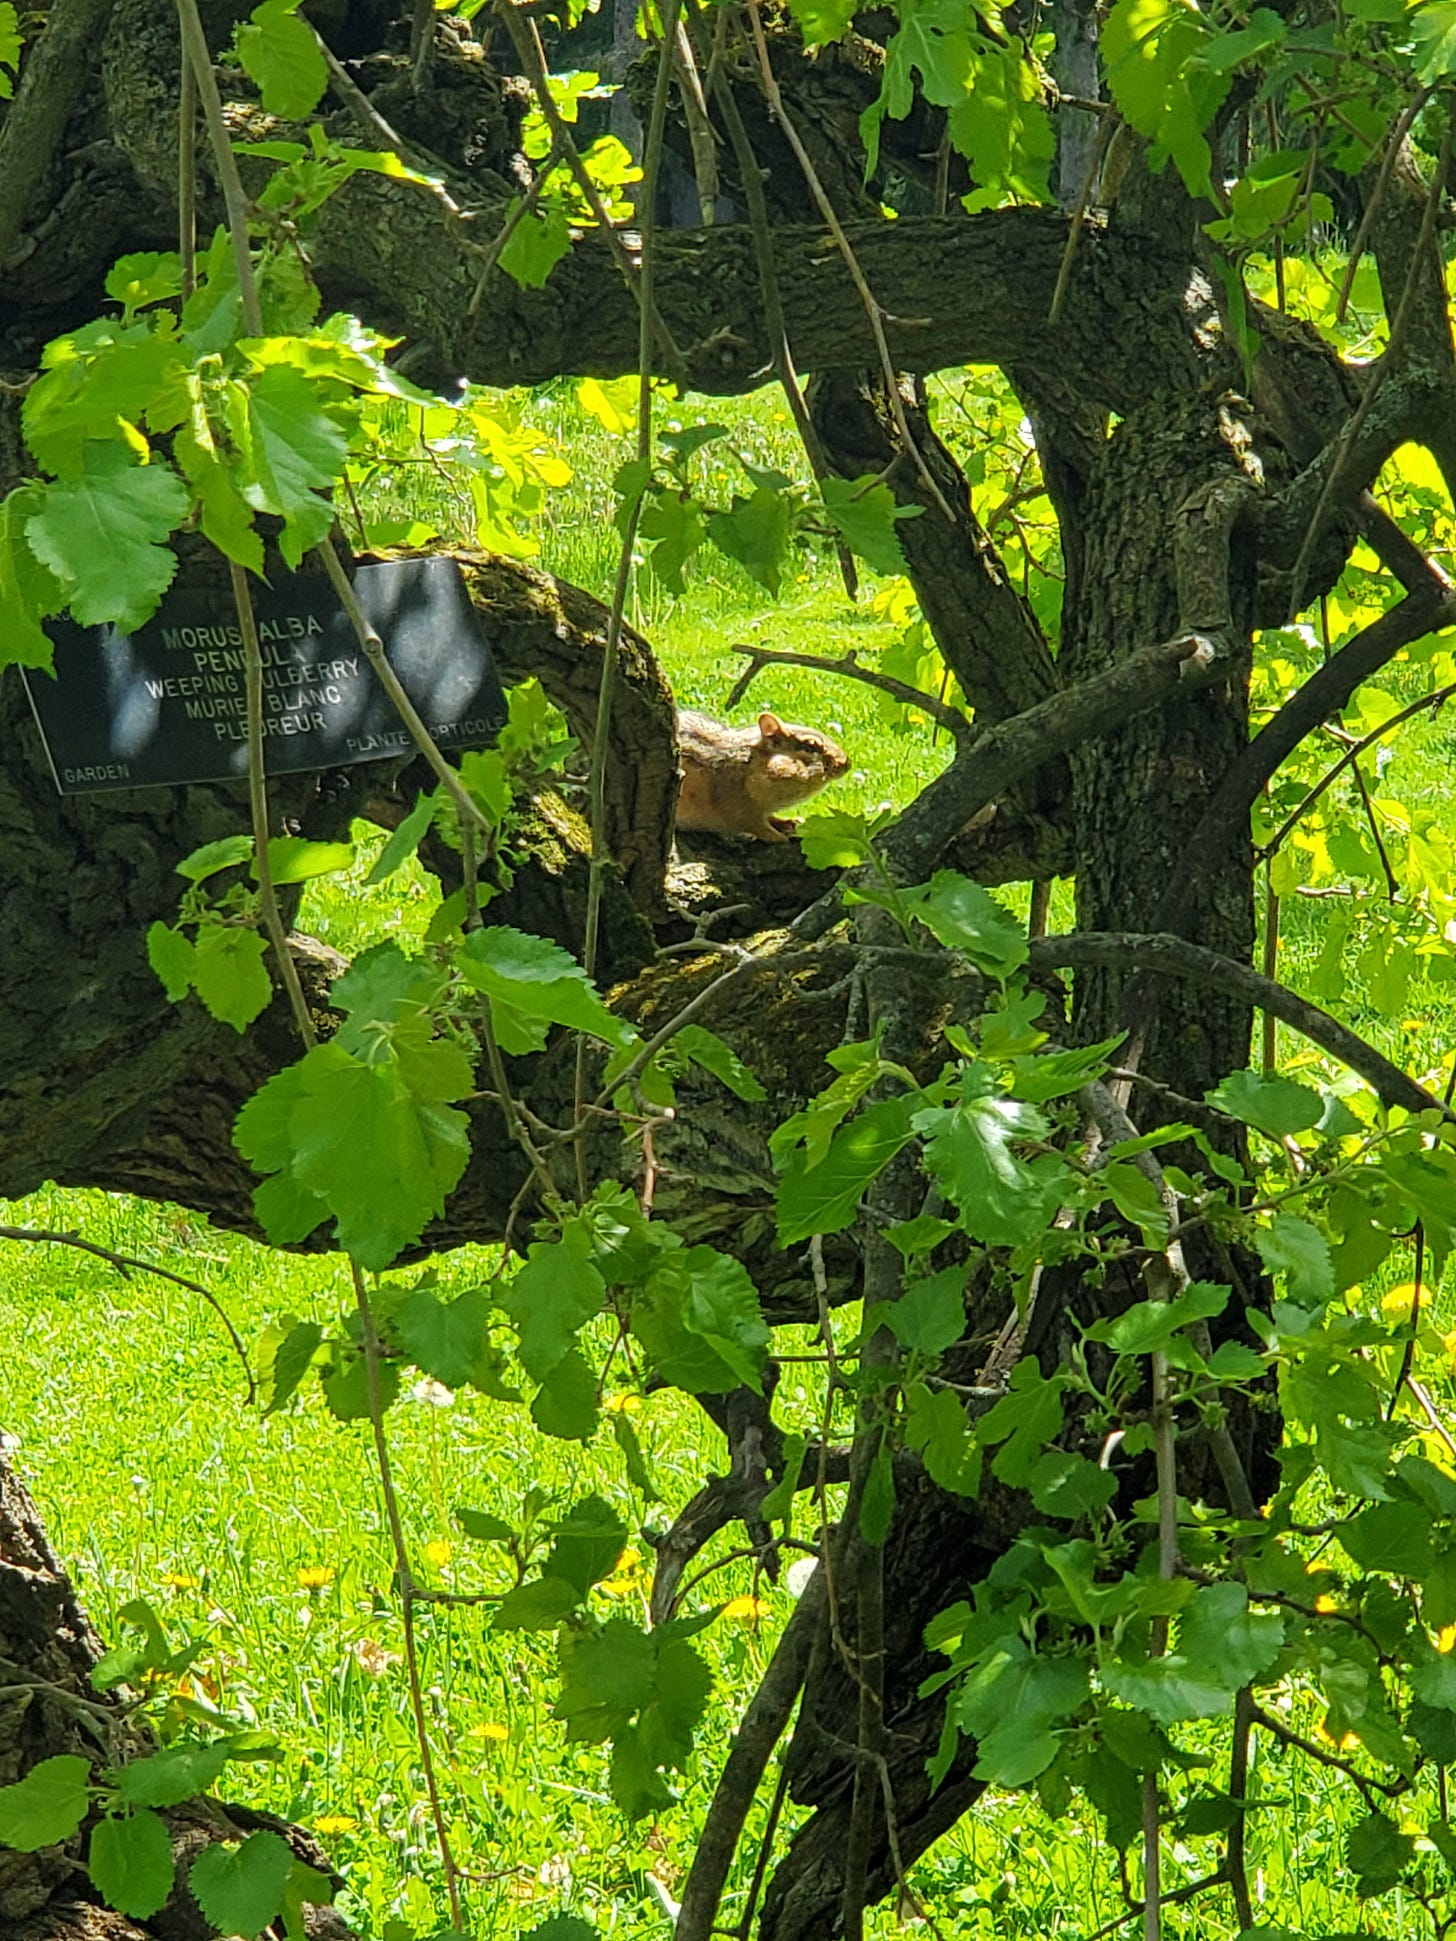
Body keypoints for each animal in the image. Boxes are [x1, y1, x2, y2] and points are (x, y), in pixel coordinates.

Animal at [675, 708, 850, 843]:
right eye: (811, 745)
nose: (847, 763)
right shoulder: (741, 809)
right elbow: (758, 827)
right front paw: (779, 836)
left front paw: (789, 823)